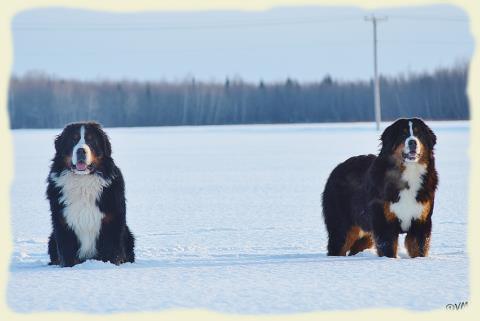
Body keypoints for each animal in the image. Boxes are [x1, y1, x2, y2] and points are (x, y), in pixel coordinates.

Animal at [46, 121, 134, 266]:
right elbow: (67, 254)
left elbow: (112, 253)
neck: (83, 182)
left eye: (91, 140)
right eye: (73, 139)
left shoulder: (112, 222)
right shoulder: (63, 223)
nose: (81, 150)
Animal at [322, 117, 438, 258]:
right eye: (403, 133)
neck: (408, 173)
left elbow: (419, 249)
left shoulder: (420, 222)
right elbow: (388, 249)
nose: (412, 142)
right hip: (342, 226)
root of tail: (337, 168)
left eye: (418, 133)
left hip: (366, 233)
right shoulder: (383, 223)